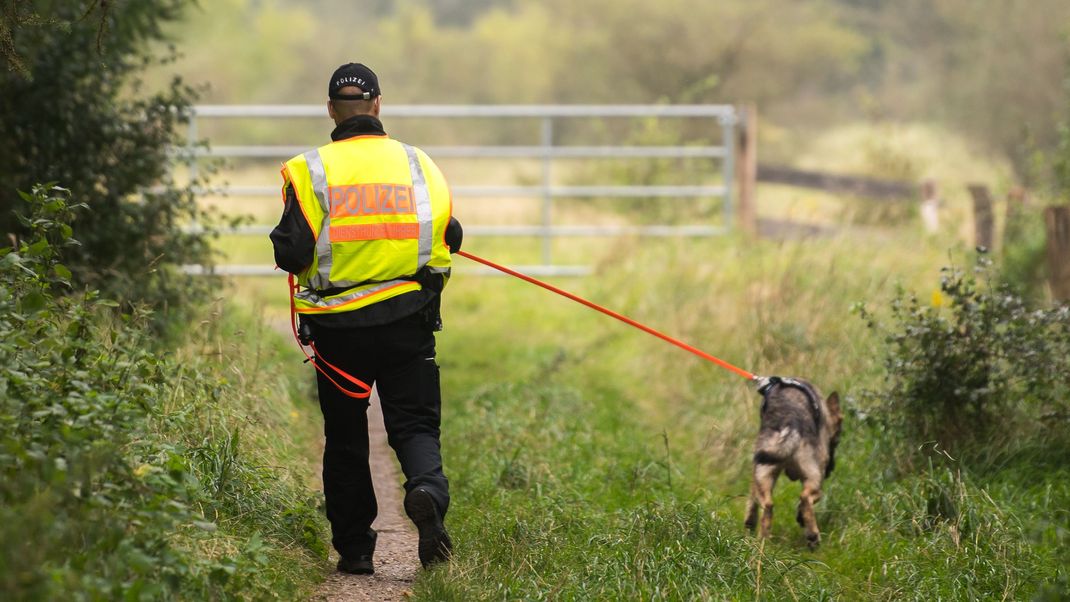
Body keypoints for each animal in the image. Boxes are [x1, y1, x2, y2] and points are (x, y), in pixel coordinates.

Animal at [744, 376, 834, 551]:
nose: (830, 469)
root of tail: (791, 423)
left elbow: (751, 501)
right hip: (815, 479)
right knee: (806, 499)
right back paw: (812, 535)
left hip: (764, 474)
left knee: (768, 505)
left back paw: (762, 541)